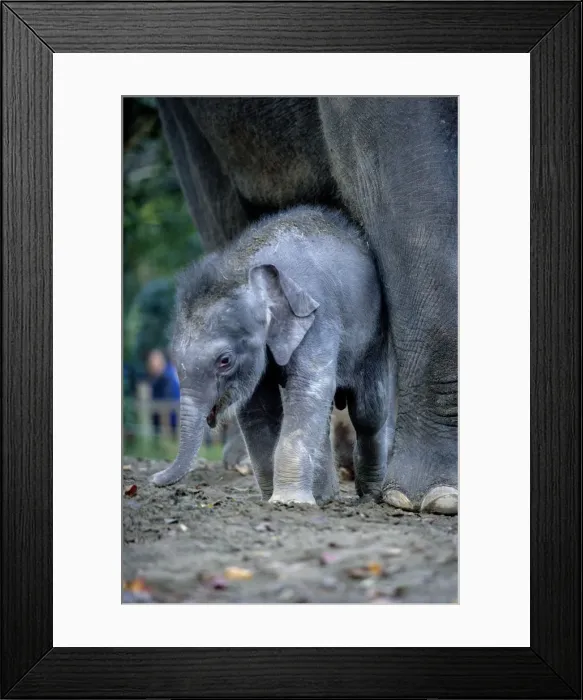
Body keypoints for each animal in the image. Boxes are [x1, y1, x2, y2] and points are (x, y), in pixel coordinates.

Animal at [151, 206, 396, 505]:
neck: (245, 269)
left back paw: (369, 496)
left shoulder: (318, 318)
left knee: (368, 411)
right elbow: (258, 408)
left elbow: (307, 389)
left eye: (224, 361)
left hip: (375, 336)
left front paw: (287, 501)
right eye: (176, 360)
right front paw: (272, 499)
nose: (153, 479)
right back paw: (325, 497)